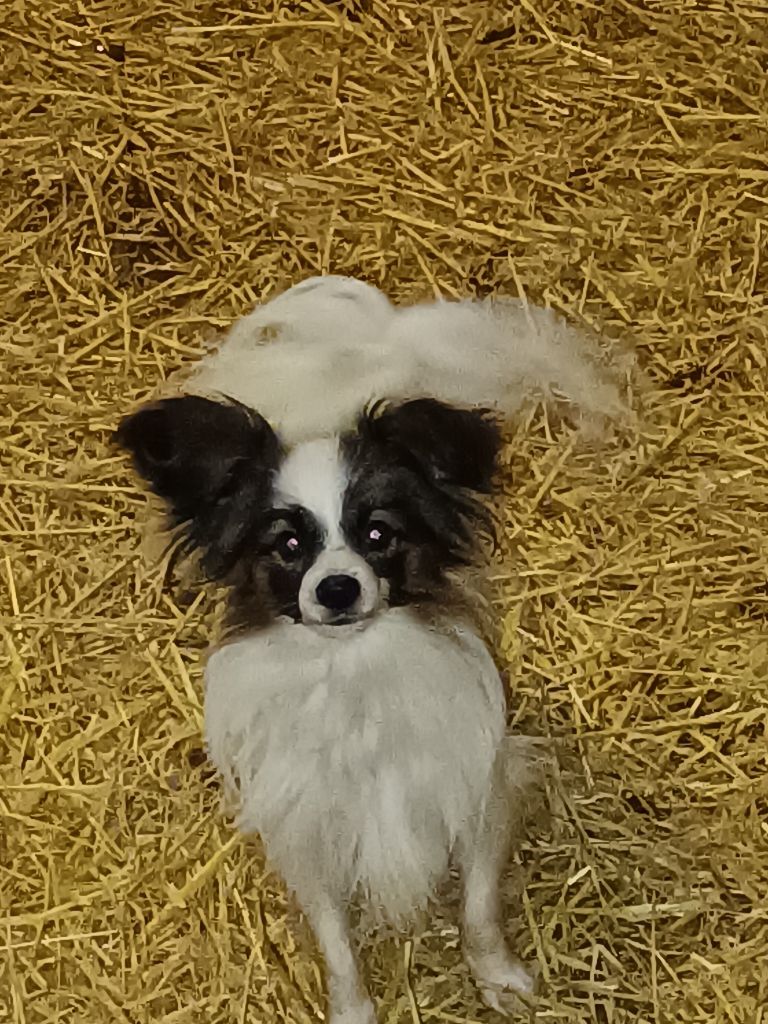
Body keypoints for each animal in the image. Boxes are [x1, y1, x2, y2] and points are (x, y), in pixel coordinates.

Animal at [117, 276, 624, 1023]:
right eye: (287, 545)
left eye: (378, 534)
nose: (336, 588)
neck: (352, 671)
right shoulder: (308, 833)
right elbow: (337, 946)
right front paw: (353, 1008)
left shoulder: (473, 790)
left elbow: (478, 908)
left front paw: (497, 976)